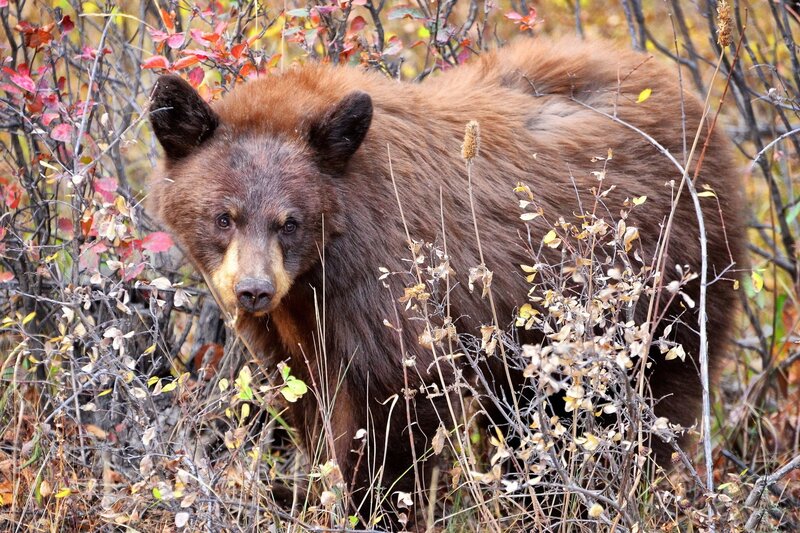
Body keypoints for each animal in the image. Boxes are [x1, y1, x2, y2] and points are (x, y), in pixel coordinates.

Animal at [148, 36, 744, 527]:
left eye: (289, 221)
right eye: (223, 217)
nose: (253, 290)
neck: (321, 270)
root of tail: (694, 105)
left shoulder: (392, 284)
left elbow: (397, 409)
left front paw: (376, 508)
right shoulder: (292, 332)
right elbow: (308, 401)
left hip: (664, 287)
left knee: (638, 406)